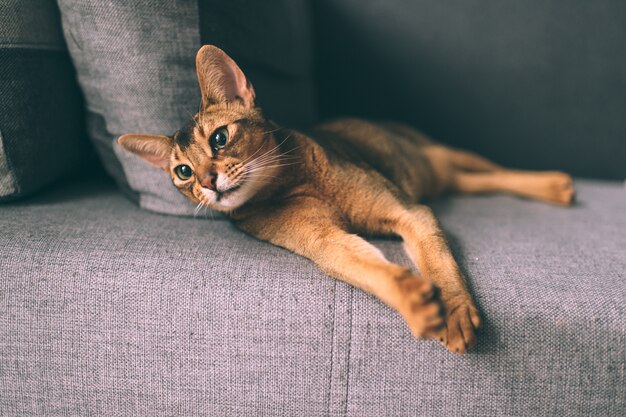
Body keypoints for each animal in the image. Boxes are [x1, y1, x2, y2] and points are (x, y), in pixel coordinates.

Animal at [117, 44, 572, 352]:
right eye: (182, 172)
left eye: (219, 138)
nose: (207, 183)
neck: (289, 185)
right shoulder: (325, 244)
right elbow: (365, 266)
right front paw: (416, 302)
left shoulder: (410, 212)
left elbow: (440, 264)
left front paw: (456, 311)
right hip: (438, 175)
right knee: (470, 181)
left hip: (438, 154)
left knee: (493, 171)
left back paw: (554, 185)